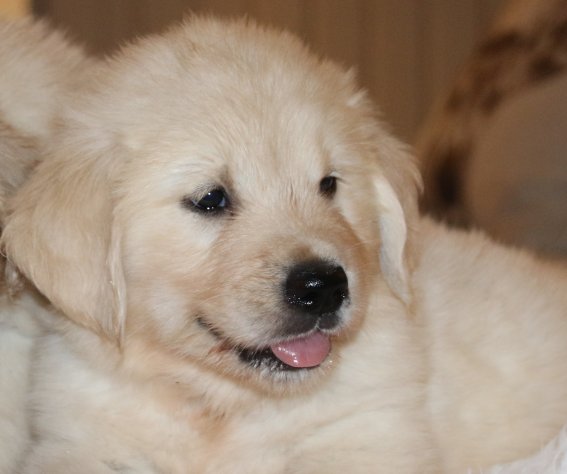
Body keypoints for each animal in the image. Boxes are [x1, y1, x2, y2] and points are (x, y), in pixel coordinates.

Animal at [2, 17, 567, 473]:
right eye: (211, 199)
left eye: (328, 185)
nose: (323, 288)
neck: (219, 403)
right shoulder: (78, 437)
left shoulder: (367, 433)